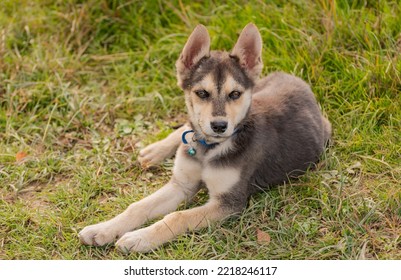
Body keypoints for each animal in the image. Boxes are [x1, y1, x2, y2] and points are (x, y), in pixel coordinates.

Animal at [79, 23, 332, 253]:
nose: (219, 126)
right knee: (184, 128)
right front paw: (102, 229)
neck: (208, 148)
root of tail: (296, 79)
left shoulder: (228, 202)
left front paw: (139, 238)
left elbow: (177, 217)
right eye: (202, 93)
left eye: (235, 94)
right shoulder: (182, 185)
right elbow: (137, 207)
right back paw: (155, 151)